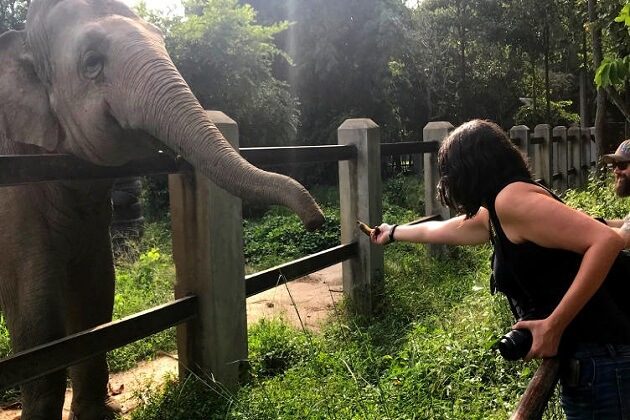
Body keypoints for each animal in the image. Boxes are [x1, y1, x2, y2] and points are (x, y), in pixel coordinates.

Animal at [0, 0, 326, 418]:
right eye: (92, 63)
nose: (317, 221)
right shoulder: (14, 198)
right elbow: (36, 315)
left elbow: (96, 293)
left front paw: (96, 414)